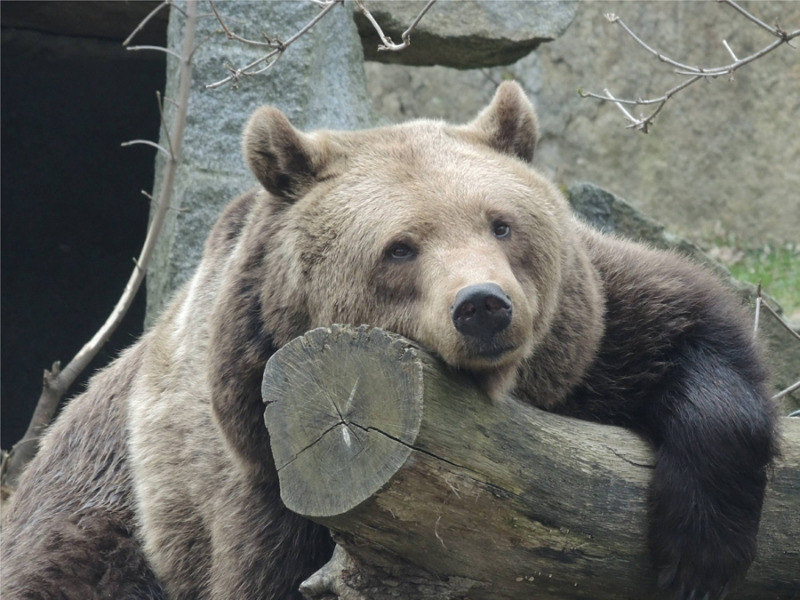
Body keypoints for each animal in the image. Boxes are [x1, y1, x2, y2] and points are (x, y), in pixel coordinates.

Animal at [0, 83, 776, 600]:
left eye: (501, 223)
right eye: (400, 247)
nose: (484, 307)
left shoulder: (590, 337)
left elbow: (689, 330)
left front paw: (699, 554)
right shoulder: (277, 489)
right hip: (107, 503)